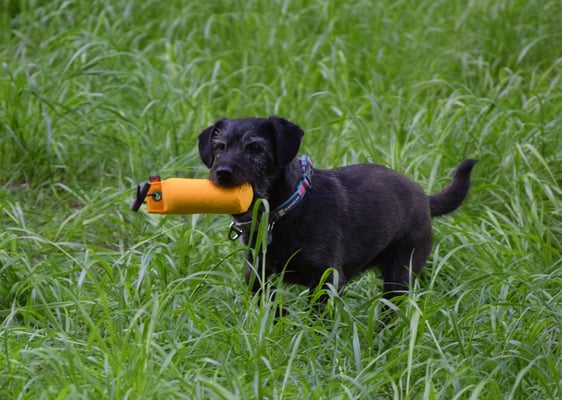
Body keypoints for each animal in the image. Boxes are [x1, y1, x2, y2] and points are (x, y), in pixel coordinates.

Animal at [198, 116, 477, 309]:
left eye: (255, 148)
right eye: (220, 147)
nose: (222, 173)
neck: (285, 211)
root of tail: (423, 197)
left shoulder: (326, 278)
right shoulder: (258, 275)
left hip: (400, 273)